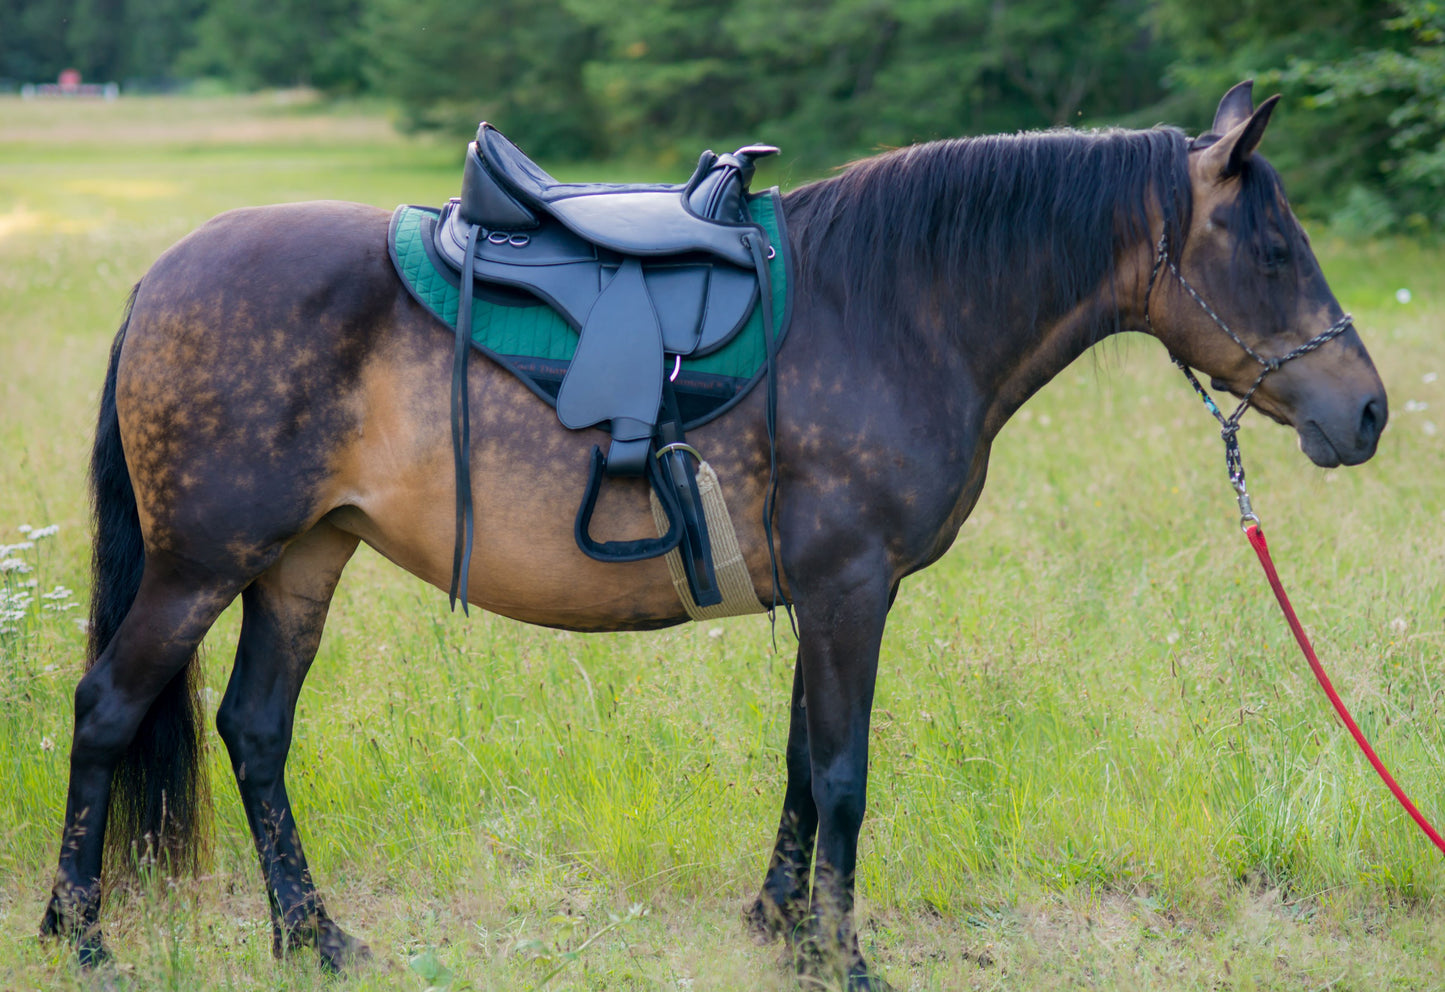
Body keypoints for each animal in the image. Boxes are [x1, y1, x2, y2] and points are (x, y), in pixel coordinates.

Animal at [39, 81, 1381, 987]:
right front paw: (841, 955)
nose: (1363, 410)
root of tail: (161, 279)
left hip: (301, 559)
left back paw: (312, 935)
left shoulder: (832, 592)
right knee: (107, 710)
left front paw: (779, 926)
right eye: (1272, 248)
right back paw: (81, 932)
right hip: (201, 565)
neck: (895, 307)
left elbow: (798, 762)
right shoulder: (850, 590)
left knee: (256, 730)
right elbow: (840, 772)